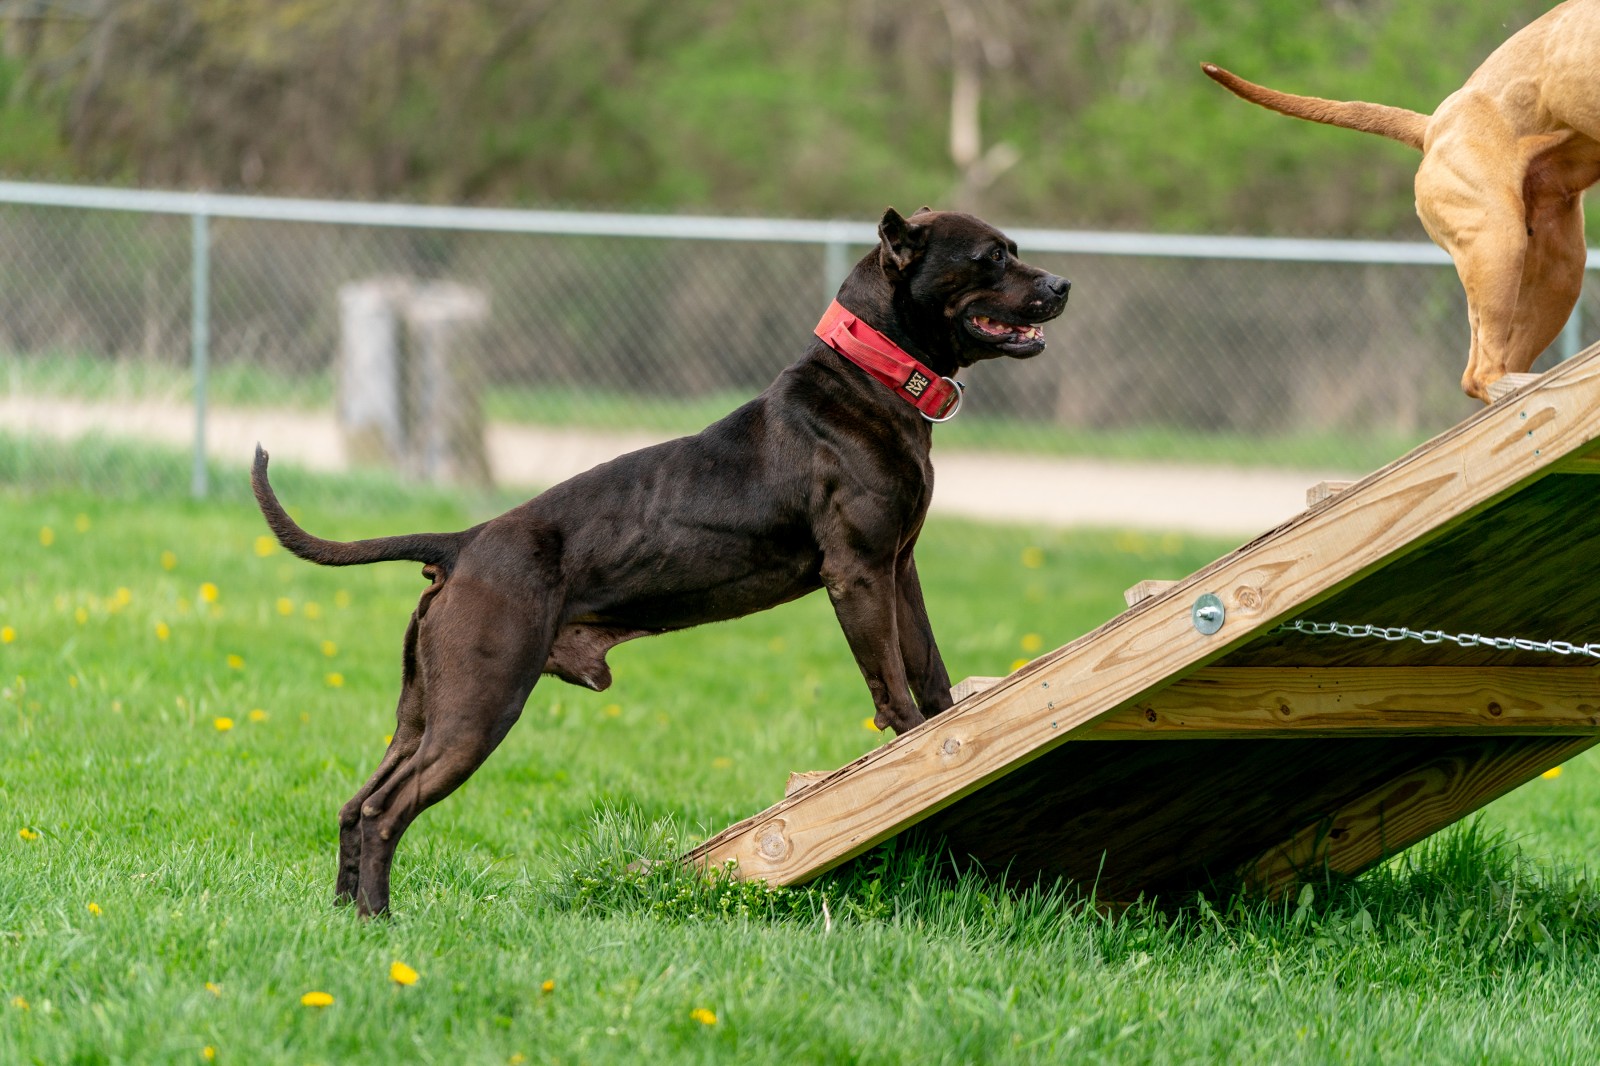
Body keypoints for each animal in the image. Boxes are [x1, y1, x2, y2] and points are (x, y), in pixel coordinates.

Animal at [256, 209, 1068, 915]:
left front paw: (948, 735)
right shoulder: (858, 574)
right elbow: (893, 687)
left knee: (357, 802)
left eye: (1013, 248)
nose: (1061, 285)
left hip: (423, 712)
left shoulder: (900, 569)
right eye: (991, 257)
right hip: (477, 709)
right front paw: (910, 754)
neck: (871, 374)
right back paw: (377, 919)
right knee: (385, 810)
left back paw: (344, 913)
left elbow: (929, 672)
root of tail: (463, 543)